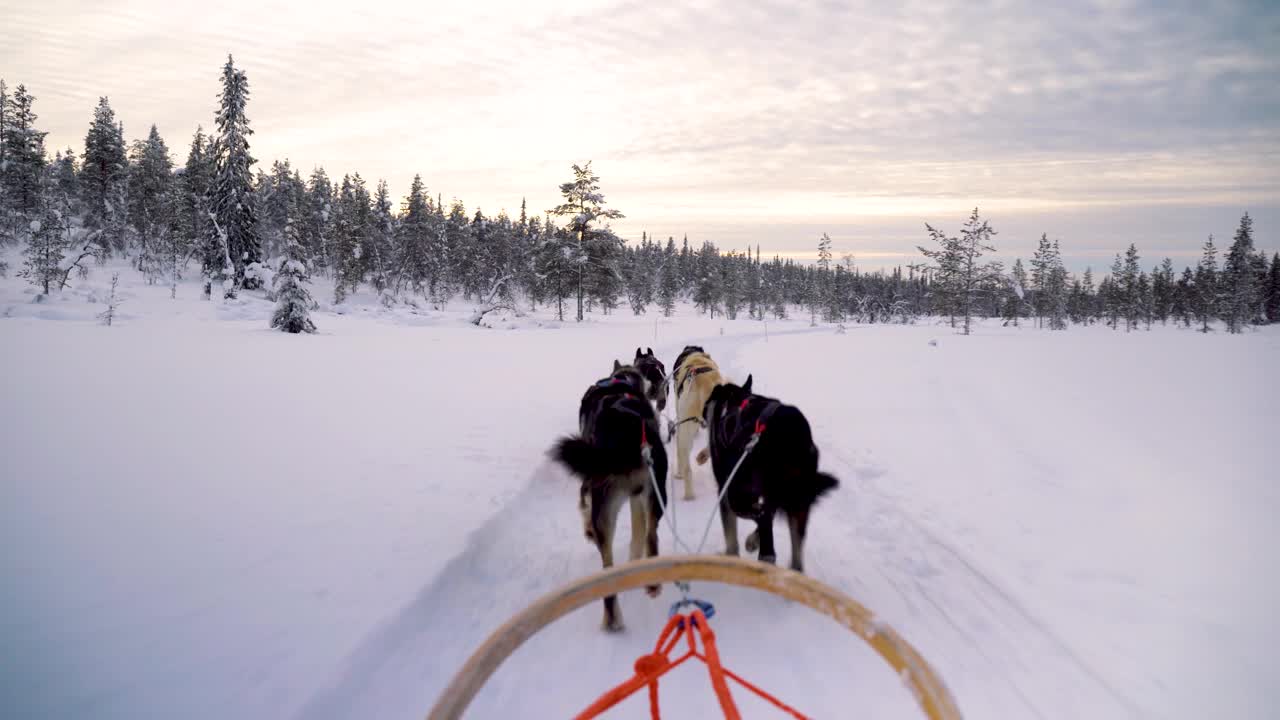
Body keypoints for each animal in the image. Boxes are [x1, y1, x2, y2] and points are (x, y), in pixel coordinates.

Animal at [550, 358, 670, 627]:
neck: (620, 380)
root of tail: (628, 431)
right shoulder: (638, 498)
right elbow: (638, 534)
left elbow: (582, 503)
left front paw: (586, 530)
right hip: (648, 497)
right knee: (646, 538)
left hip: (607, 499)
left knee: (618, 553)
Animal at [701, 376, 839, 571]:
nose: (703, 413)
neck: (736, 400)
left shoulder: (726, 488)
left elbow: (731, 534)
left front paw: (731, 555)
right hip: (798, 500)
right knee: (794, 549)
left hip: (739, 492)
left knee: (762, 518)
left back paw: (764, 552)